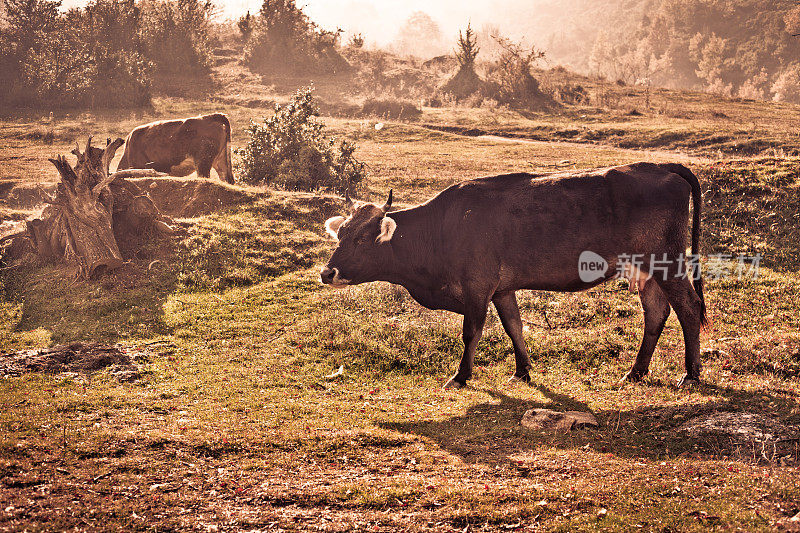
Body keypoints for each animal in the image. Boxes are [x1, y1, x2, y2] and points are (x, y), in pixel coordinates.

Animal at [318, 160, 708, 388]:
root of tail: (658, 166)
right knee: (655, 312)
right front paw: (522, 371)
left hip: (667, 261)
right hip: (648, 268)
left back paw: (690, 373)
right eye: (340, 234)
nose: (327, 272)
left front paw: (460, 376)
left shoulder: (477, 286)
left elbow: (471, 332)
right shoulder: (502, 289)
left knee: (688, 309)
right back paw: (636, 371)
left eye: (361, 238)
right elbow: (514, 327)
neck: (442, 227)